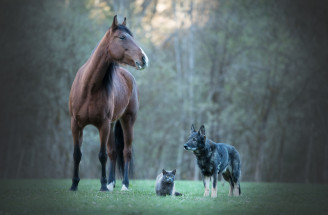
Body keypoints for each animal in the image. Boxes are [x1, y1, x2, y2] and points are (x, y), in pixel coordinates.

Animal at [69, 15, 149, 191]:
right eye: (122, 37)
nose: (144, 59)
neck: (89, 87)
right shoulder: (76, 124)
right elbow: (77, 154)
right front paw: (74, 184)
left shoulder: (103, 125)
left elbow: (102, 155)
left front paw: (103, 186)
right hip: (112, 124)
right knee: (113, 152)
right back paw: (112, 183)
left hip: (127, 121)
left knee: (126, 152)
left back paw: (124, 185)